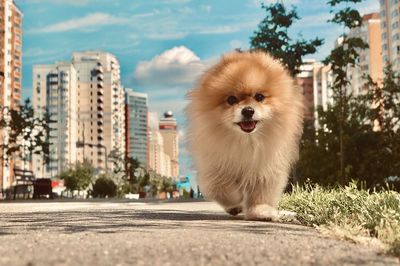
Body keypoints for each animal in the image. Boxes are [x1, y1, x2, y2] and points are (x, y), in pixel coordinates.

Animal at [186, 51, 304, 221]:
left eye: (259, 97)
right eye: (231, 99)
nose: (248, 110)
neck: (247, 141)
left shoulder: (265, 168)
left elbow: (261, 194)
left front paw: (261, 212)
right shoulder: (214, 167)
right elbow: (222, 188)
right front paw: (237, 201)